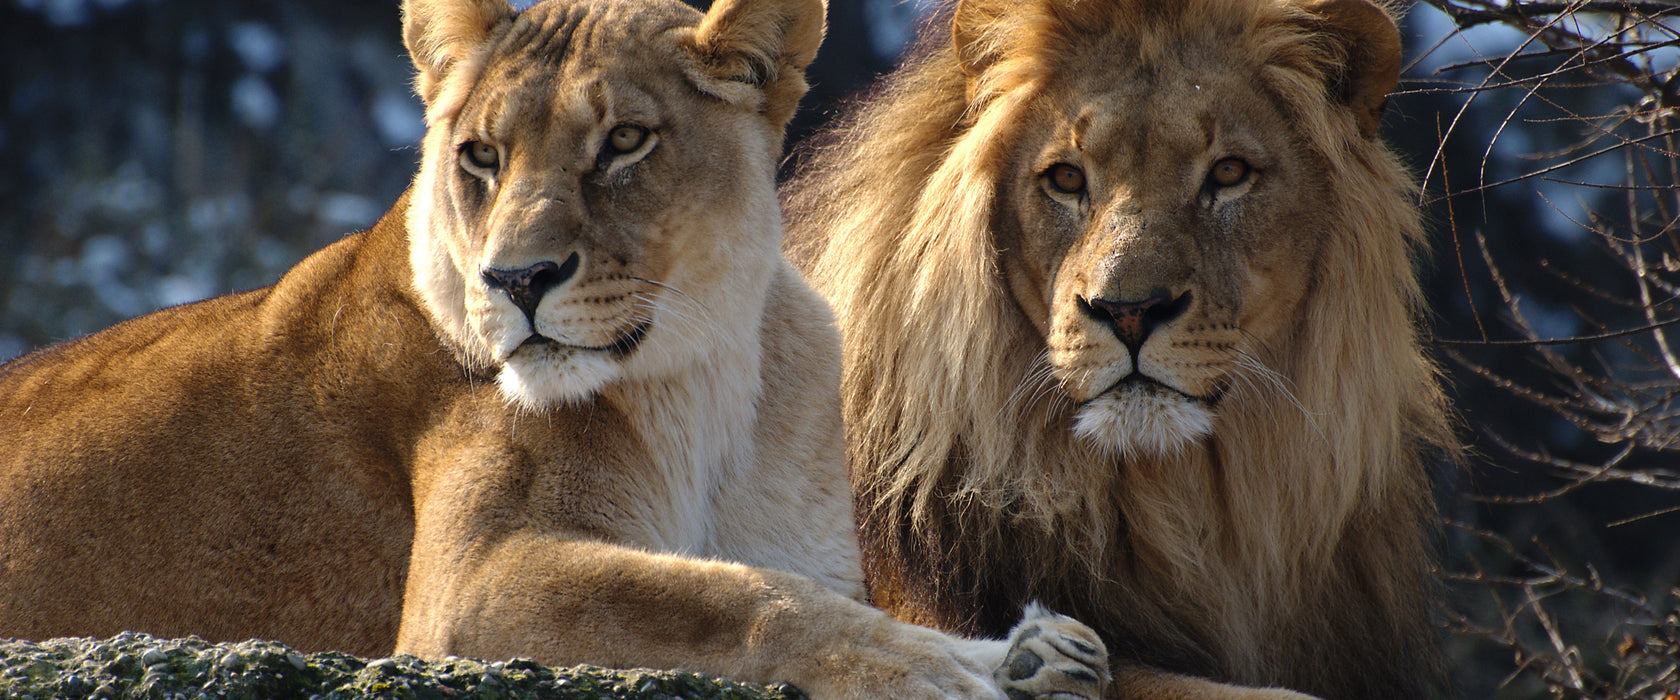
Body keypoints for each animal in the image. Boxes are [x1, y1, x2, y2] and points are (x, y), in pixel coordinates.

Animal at [0, 0, 1108, 691]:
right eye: (481, 156)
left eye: (624, 141)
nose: (517, 280)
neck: (711, 383)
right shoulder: (469, 590)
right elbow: (734, 599)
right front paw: (986, 665)